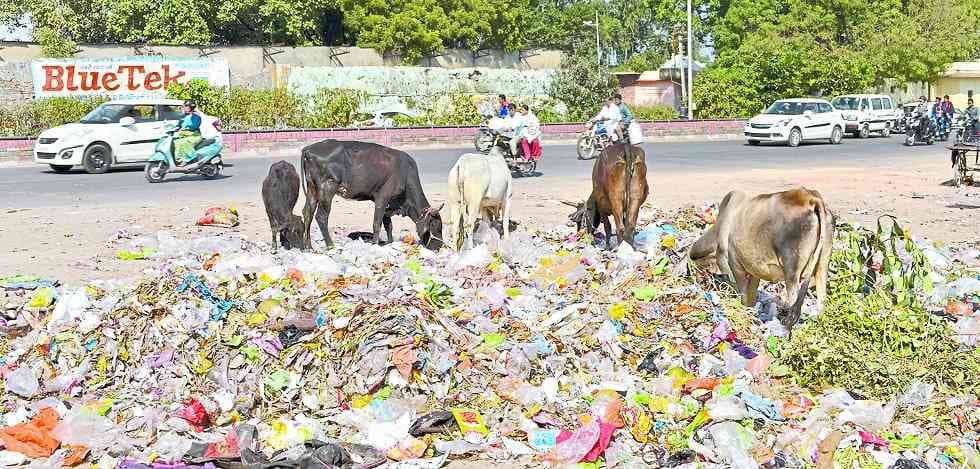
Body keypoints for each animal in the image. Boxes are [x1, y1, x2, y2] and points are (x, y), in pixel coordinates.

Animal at [298, 138, 444, 250]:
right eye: (435, 225)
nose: (438, 246)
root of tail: (309, 148)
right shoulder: (382, 198)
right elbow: (377, 223)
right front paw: (375, 243)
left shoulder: (388, 204)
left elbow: (388, 224)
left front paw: (389, 242)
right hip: (328, 188)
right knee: (321, 216)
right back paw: (330, 245)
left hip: (312, 188)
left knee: (307, 213)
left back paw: (308, 246)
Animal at [688, 186, 836, 330]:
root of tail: (811, 199)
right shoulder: (754, 273)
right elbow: (751, 297)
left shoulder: (733, 265)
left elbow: (743, 295)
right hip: (822, 265)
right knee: (821, 301)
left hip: (792, 272)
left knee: (794, 307)